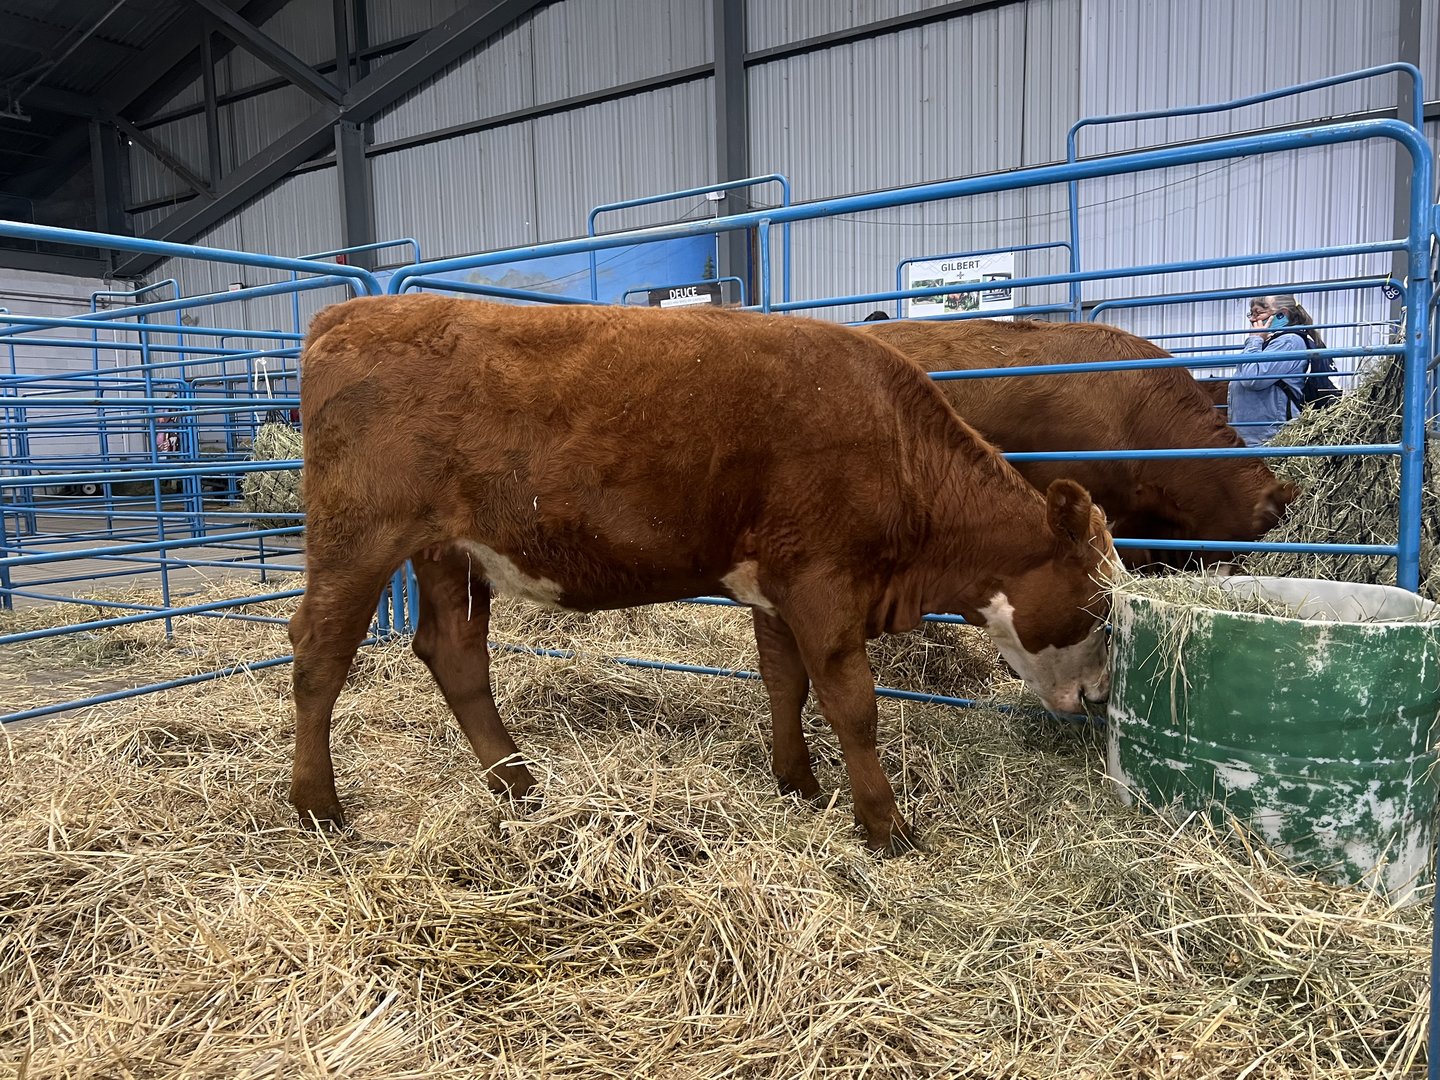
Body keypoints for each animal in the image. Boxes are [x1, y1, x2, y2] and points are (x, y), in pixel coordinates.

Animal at [288, 296, 1117, 854]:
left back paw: (521, 785)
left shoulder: (776, 584)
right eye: (1101, 604)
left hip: (447, 552)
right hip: (357, 537)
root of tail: (352, 311)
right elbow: (853, 703)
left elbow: (785, 680)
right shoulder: (822, 581)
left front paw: (798, 784)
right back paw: (319, 807)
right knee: (318, 653)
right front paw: (886, 825)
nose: (1099, 698)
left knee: (455, 655)